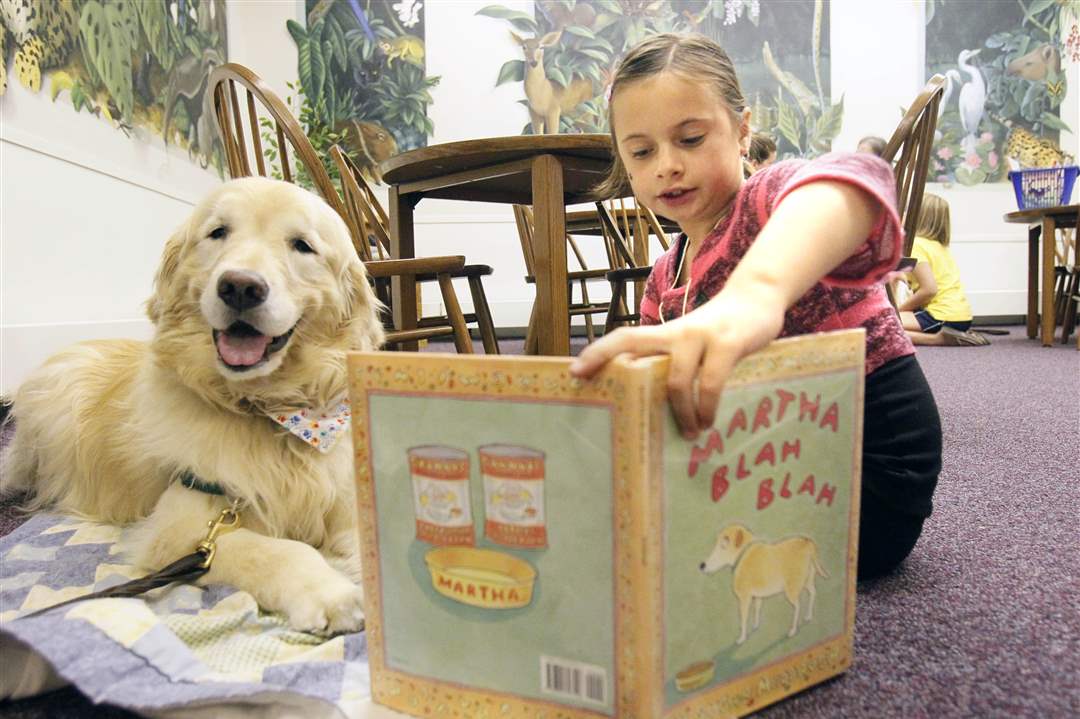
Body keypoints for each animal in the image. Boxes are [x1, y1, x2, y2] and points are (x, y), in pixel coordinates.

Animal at [2, 175, 384, 630]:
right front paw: (330, 593)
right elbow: (277, 551)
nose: (240, 287)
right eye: (218, 232)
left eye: (302, 245)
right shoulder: (185, 529)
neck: (268, 410)